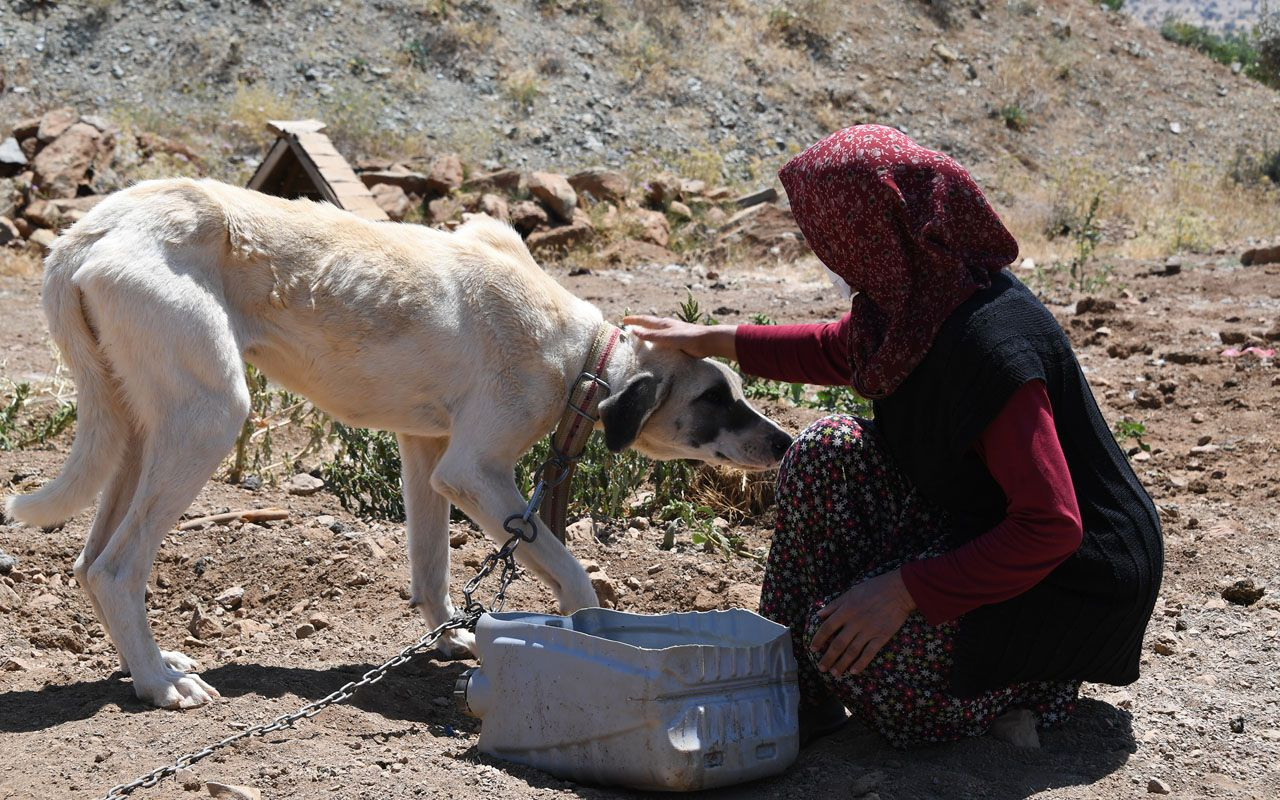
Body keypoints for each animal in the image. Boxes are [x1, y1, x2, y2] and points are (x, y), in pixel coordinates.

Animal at [5, 179, 788, 706]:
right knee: (117, 566)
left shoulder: (426, 453)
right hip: (208, 416)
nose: (783, 444)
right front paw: (583, 630)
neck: (583, 359)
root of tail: (88, 231)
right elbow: (571, 574)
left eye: (734, 390)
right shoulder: (475, 471)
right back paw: (160, 685)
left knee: (89, 562)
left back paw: (148, 664)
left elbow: (432, 566)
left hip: (136, 425)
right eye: (715, 400)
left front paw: (445, 638)